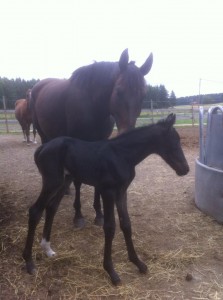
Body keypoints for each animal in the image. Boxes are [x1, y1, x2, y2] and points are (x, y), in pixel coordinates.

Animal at [22, 113, 189, 284]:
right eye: (174, 141)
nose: (185, 169)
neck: (121, 155)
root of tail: (42, 148)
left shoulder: (122, 192)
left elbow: (126, 224)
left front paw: (138, 263)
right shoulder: (108, 191)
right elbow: (110, 227)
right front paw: (111, 271)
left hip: (64, 182)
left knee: (51, 208)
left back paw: (48, 249)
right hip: (52, 182)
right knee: (35, 211)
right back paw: (29, 262)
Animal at [30, 49, 153, 227]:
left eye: (143, 95)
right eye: (118, 91)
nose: (127, 134)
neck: (93, 104)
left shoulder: (99, 143)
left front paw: (99, 214)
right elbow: (78, 181)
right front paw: (78, 216)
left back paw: (65, 190)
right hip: (43, 134)